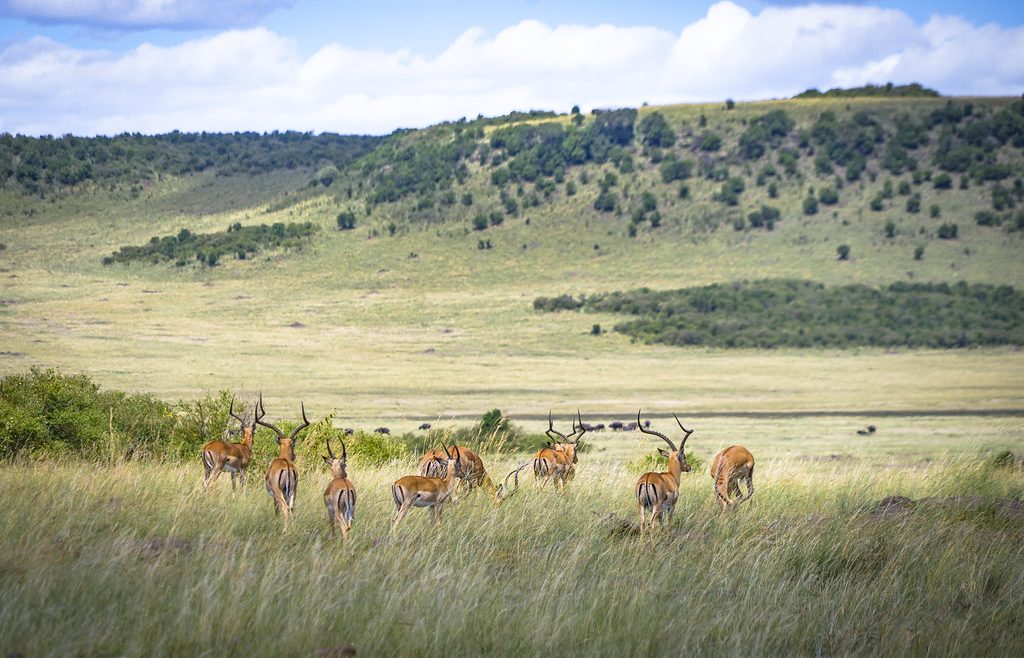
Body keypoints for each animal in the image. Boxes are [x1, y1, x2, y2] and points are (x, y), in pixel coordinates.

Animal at [257, 395, 310, 530]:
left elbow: (276, 512)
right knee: (292, 509)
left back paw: (284, 531)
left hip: (279, 493)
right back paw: (294, 530)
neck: (283, 458)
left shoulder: (274, 496)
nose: (294, 456)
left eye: (293, 445)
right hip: (293, 492)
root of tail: (287, 466)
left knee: (285, 509)